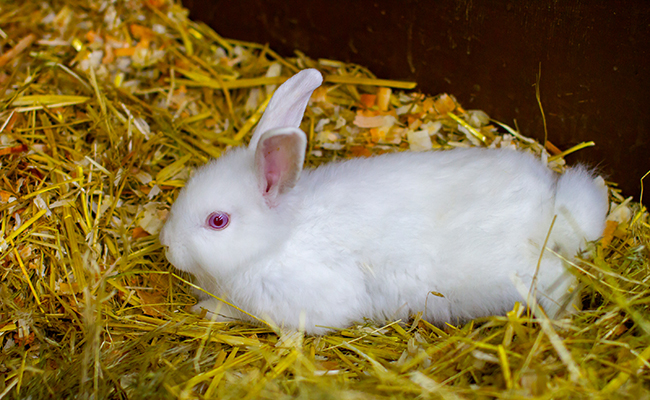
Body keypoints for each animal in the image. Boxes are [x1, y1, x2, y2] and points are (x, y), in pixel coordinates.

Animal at [158, 69, 608, 334]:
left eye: (218, 221)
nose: (166, 245)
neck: (276, 240)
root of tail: (554, 208)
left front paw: (209, 312)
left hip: (536, 277)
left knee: (565, 287)